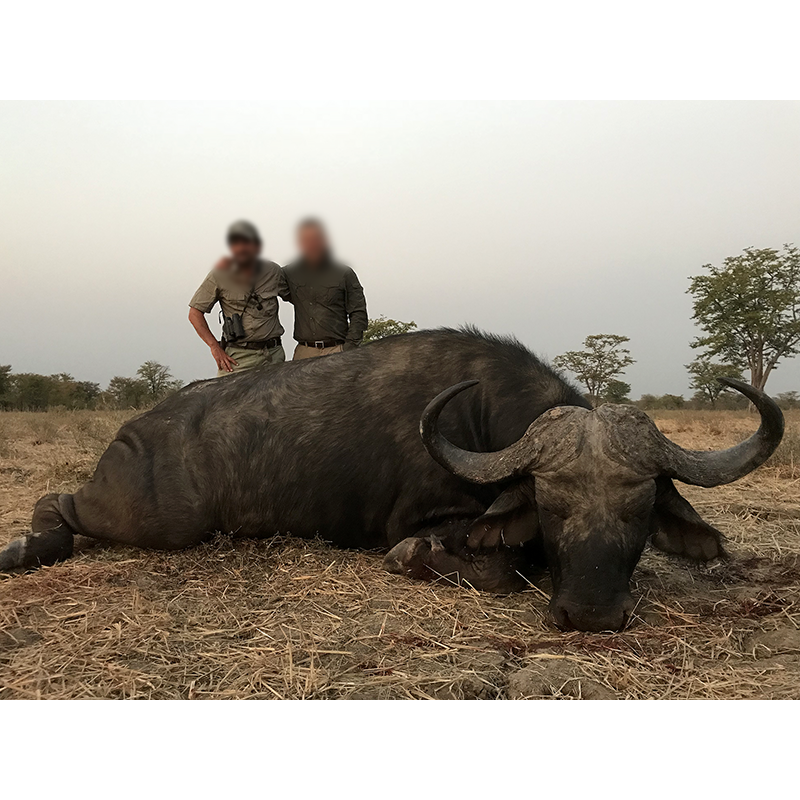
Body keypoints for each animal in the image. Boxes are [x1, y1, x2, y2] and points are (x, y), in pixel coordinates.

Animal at [0, 328, 780, 636]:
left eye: (640, 509)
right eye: (551, 504)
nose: (589, 614)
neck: (483, 421)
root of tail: (136, 428)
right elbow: (485, 565)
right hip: (158, 520)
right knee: (55, 503)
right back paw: (23, 550)